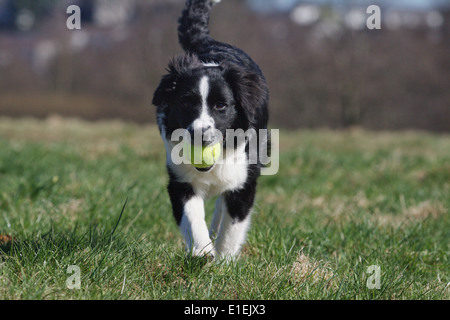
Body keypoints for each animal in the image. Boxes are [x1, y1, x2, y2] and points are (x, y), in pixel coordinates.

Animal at [153, 0, 268, 260]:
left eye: (220, 106)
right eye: (186, 103)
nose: (199, 135)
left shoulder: (244, 180)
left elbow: (233, 226)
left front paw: (225, 261)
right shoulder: (180, 178)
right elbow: (191, 215)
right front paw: (202, 252)